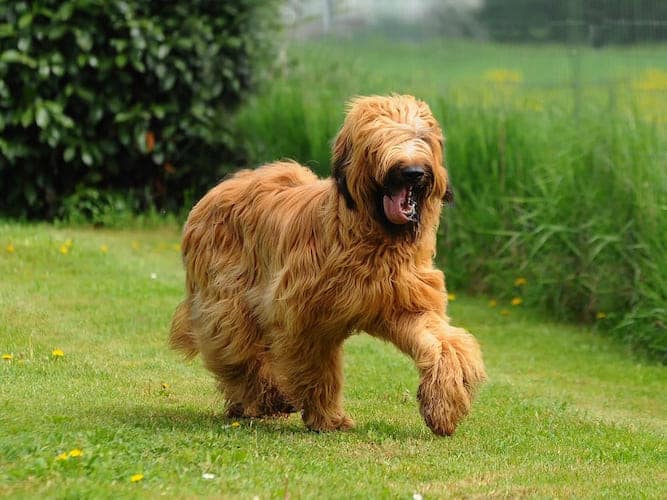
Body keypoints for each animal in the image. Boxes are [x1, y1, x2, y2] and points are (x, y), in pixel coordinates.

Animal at [171, 94, 486, 434]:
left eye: (422, 137)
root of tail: (221, 189)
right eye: (379, 139)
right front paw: (327, 418)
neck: (374, 238)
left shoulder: (405, 303)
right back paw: (265, 397)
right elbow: (318, 368)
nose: (413, 172)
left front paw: (444, 407)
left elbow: (445, 344)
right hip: (227, 299)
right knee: (237, 349)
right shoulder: (306, 318)